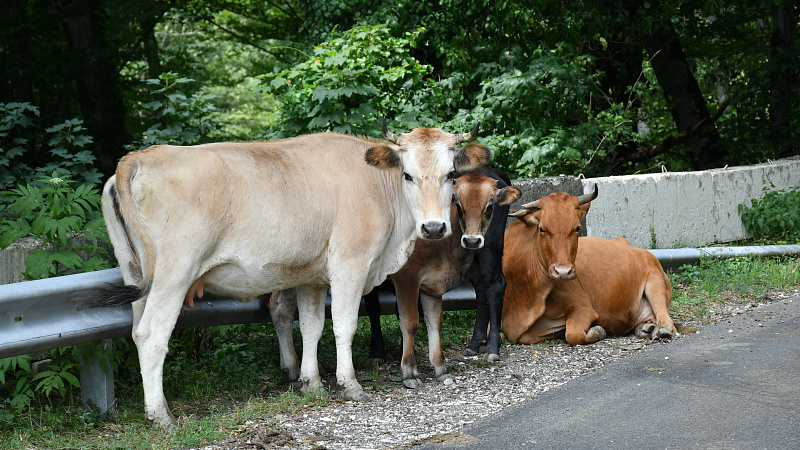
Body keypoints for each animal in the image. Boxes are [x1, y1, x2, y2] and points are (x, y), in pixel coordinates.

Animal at [500, 185, 676, 344]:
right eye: (542, 229)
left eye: (577, 228)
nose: (563, 271)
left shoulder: (583, 307)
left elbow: (573, 334)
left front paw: (596, 331)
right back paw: (646, 328)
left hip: (656, 280)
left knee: (666, 320)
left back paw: (660, 330)